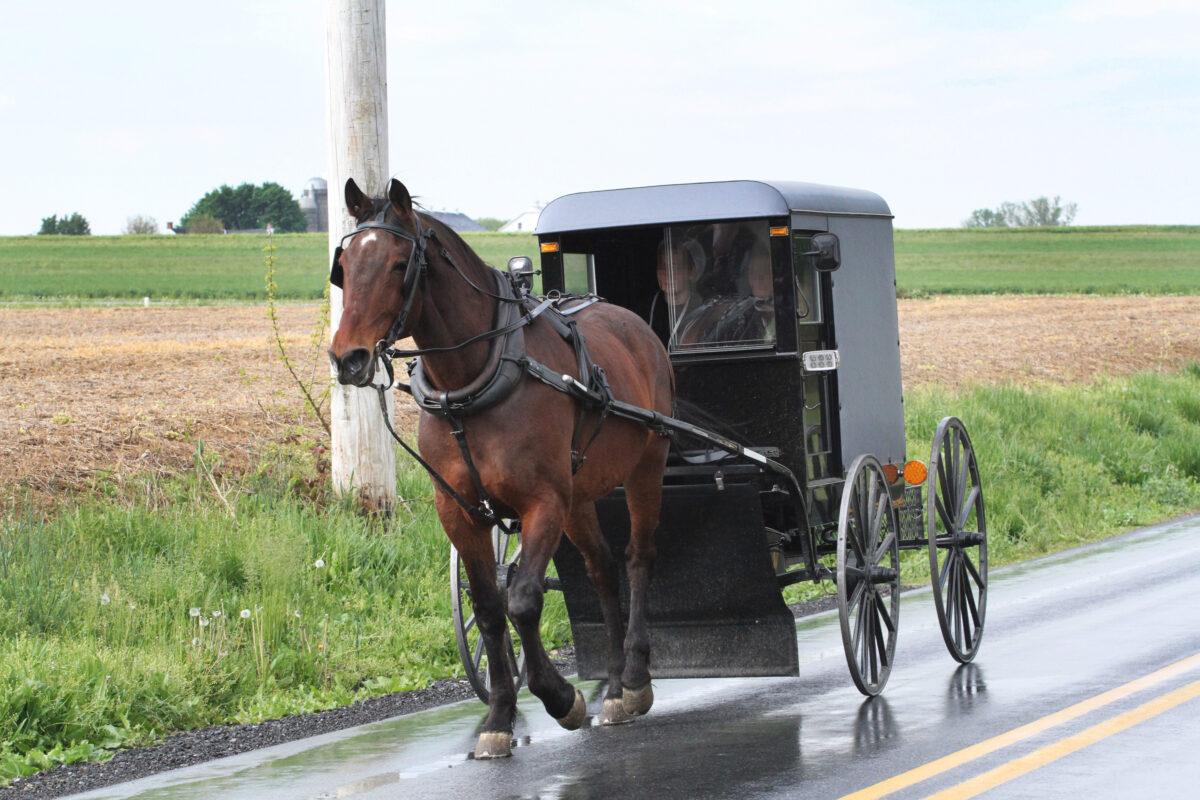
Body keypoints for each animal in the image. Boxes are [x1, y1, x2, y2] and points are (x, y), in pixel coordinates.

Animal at [328, 177, 674, 759]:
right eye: (344, 265)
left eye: (399, 264)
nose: (347, 358)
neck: (472, 383)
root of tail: (635, 323)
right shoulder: (461, 511)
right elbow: (490, 606)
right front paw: (499, 716)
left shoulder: (543, 502)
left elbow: (525, 598)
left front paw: (559, 697)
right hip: (580, 496)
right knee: (602, 570)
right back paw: (611, 689)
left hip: (647, 465)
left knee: (638, 560)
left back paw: (632, 680)